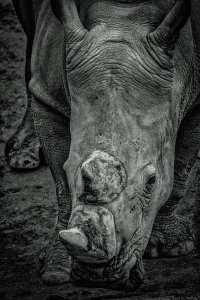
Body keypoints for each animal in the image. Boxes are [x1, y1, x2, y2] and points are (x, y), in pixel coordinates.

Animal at [9, 0, 200, 290]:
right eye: (69, 170)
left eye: (151, 182)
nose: (96, 275)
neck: (121, 18)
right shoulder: (49, 96)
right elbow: (62, 189)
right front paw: (56, 270)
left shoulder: (198, 95)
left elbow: (180, 168)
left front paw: (176, 246)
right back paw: (22, 156)